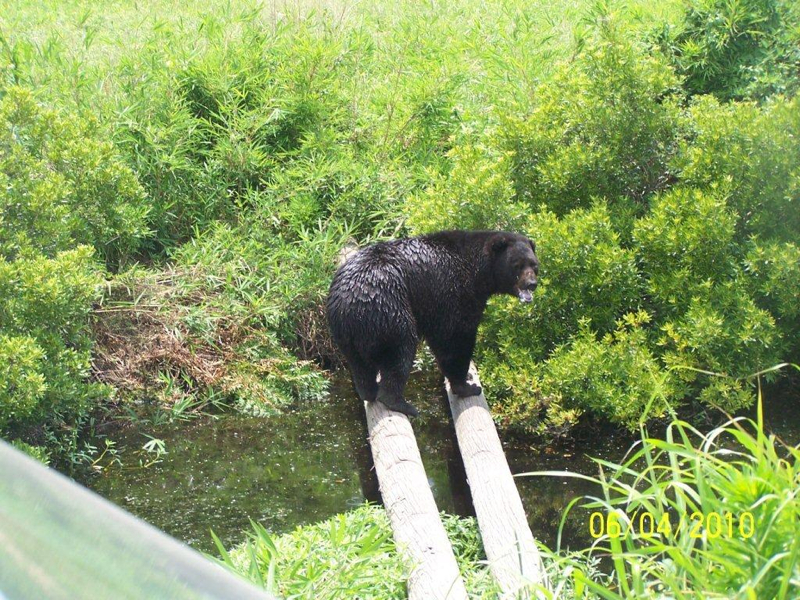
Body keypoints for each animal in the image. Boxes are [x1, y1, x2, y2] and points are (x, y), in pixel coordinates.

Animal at [324, 230, 536, 418]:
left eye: (534, 264)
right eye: (517, 264)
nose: (532, 283)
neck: (479, 273)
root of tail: (348, 301)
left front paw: (467, 377)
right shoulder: (453, 292)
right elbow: (455, 338)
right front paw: (467, 386)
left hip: (345, 333)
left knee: (360, 364)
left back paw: (369, 391)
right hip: (388, 309)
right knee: (400, 350)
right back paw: (401, 404)